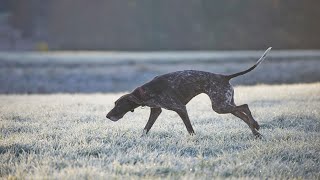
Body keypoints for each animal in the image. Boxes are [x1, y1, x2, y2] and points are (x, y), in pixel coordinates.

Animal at [106, 47, 272, 137]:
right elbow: (146, 128)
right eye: (114, 103)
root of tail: (224, 77)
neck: (146, 91)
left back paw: (256, 125)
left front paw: (193, 138)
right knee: (243, 114)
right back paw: (256, 131)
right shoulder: (156, 110)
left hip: (220, 106)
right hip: (225, 104)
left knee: (245, 107)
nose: (107, 116)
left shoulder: (180, 108)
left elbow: (189, 128)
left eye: (119, 105)